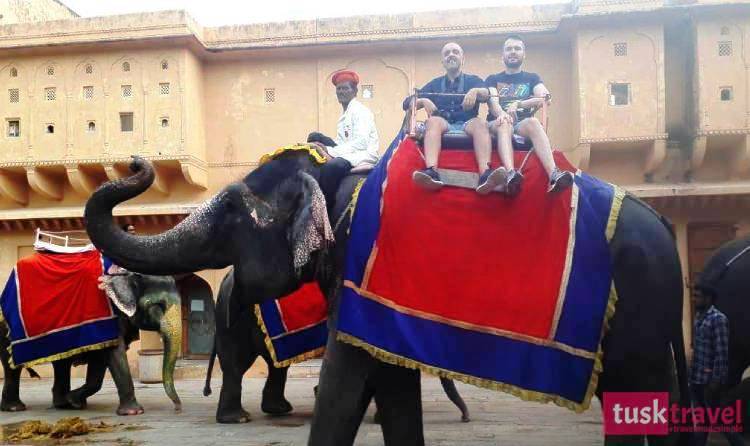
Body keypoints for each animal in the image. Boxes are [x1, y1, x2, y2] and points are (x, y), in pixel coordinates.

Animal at [1, 264, 184, 414]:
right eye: (157, 306)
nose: (177, 408)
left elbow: (101, 359)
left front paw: (73, 400)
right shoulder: (109, 313)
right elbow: (114, 352)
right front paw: (134, 412)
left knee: (62, 363)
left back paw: (63, 404)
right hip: (6, 327)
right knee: (12, 366)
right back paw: (15, 408)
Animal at [200, 266, 470, 424]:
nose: (465, 419)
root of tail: (225, 279)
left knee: (276, 366)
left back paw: (279, 411)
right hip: (234, 320)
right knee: (237, 365)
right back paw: (239, 419)